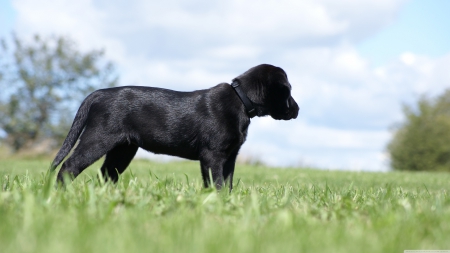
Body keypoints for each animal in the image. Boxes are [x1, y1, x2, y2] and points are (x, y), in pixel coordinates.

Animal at [50, 63, 298, 190]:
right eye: (288, 91)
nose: (297, 109)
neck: (241, 100)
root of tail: (98, 93)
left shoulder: (230, 156)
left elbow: (227, 182)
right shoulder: (213, 155)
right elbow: (216, 182)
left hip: (123, 149)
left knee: (107, 173)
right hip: (98, 138)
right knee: (69, 165)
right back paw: (60, 192)